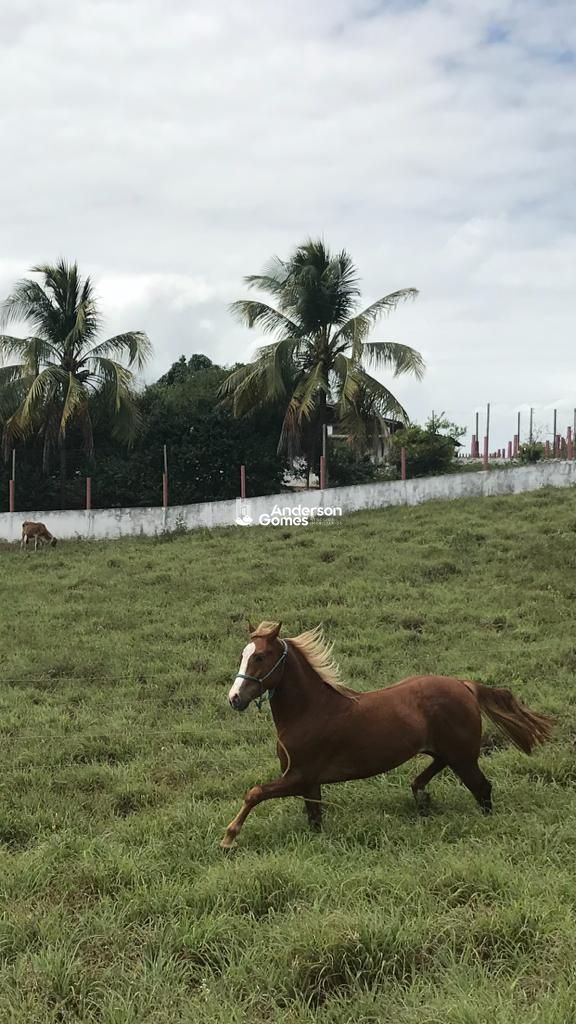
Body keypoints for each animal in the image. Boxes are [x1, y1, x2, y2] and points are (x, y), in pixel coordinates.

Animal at [220, 622, 553, 847]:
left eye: (260, 657)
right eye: (243, 654)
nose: (234, 698)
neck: (310, 711)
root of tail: (465, 685)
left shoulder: (299, 776)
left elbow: (254, 793)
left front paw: (228, 837)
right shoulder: (309, 782)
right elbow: (314, 819)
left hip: (464, 756)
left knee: (483, 789)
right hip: (446, 751)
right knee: (436, 771)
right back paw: (421, 795)